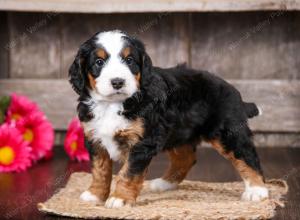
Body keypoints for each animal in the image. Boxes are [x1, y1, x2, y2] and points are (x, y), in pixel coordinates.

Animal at [69, 29, 268, 208]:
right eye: (99, 62)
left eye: (129, 60)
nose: (118, 82)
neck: (113, 104)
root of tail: (232, 90)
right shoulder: (94, 138)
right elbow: (100, 170)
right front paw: (95, 195)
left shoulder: (142, 142)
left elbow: (129, 172)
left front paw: (120, 198)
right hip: (177, 132)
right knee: (186, 159)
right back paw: (164, 183)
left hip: (226, 132)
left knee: (247, 156)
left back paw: (257, 190)